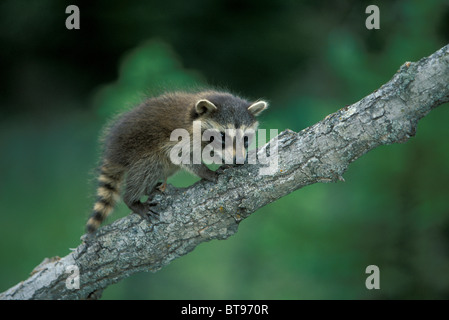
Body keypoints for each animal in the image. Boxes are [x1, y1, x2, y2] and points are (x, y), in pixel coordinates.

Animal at [85, 90, 266, 232]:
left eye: (246, 138)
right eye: (222, 136)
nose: (239, 160)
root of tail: (113, 152)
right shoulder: (180, 137)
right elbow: (182, 155)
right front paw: (207, 172)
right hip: (141, 150)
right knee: (147, 168)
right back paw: (132, 199)